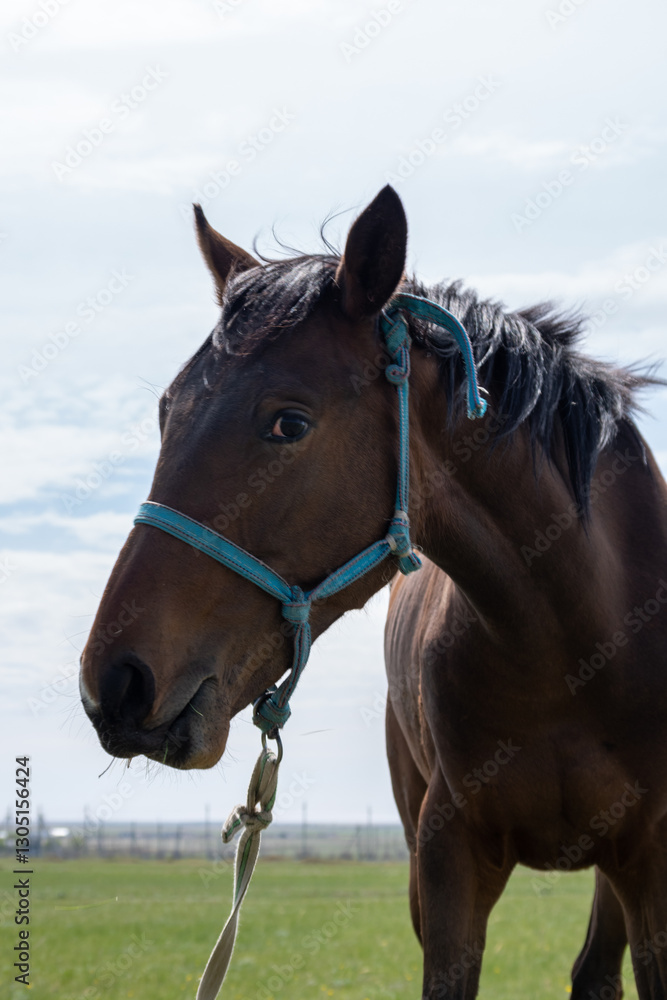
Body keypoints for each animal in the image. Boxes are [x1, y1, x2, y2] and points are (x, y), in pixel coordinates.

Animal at [80, 185, 667, 999]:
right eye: (167, 412)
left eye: (288, 423)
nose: (116, 680)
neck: (574, 643)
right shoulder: (447, 865)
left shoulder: (652, 867)